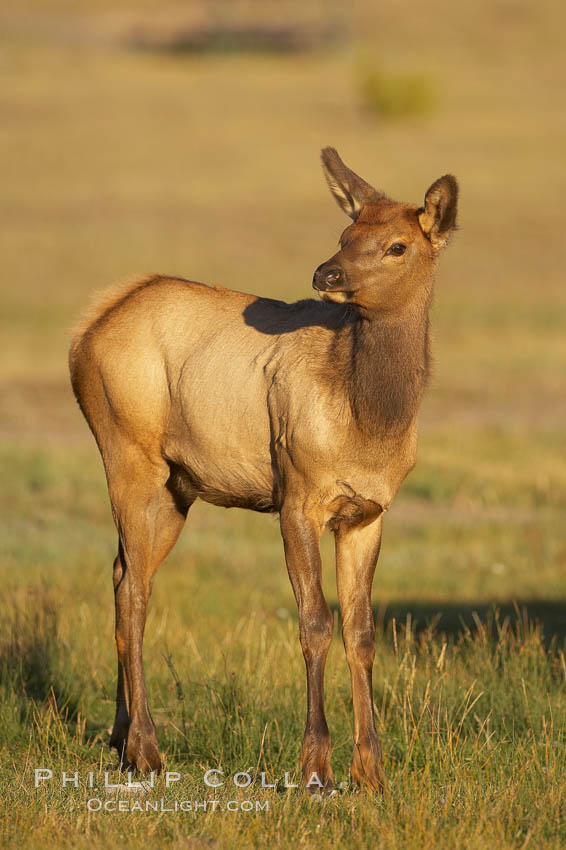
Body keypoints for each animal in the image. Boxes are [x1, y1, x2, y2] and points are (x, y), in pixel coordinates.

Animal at [71, 147, 460, 796]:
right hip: (126, 451)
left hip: (178, 486)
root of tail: (84, 329)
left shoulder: (368, 512)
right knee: (134, 589)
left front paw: (372, 772)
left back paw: (121, 738)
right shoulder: (298, 498)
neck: (371, 422)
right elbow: (314, 622)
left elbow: (361, 631)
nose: (326, 274)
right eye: (345, 233)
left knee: (124, 572)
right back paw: (148, 749)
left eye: (397, 245)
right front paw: (316, 767)